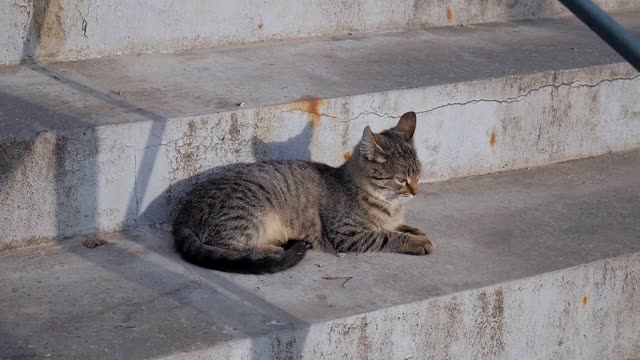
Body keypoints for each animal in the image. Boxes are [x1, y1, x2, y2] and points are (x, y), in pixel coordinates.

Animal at [174, 111, 436, 274]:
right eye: (401, 180)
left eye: (418, 175)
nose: (416, 192)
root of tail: (184, 211)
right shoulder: (347, 235)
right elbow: (386, 236)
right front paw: (416, 241)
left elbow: (397, 226)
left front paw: (415, 230)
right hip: (248, 209)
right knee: (226, 246)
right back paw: (273, 250)